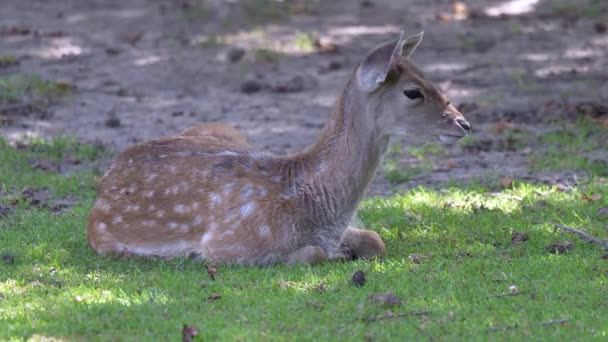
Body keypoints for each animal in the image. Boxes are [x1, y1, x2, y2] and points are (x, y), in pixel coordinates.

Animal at [88, 32, 472, 266]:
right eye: (412, 91)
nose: (463, 123)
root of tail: (105, 182)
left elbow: (377, 240)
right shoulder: (225, 246)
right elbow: (314, 254)